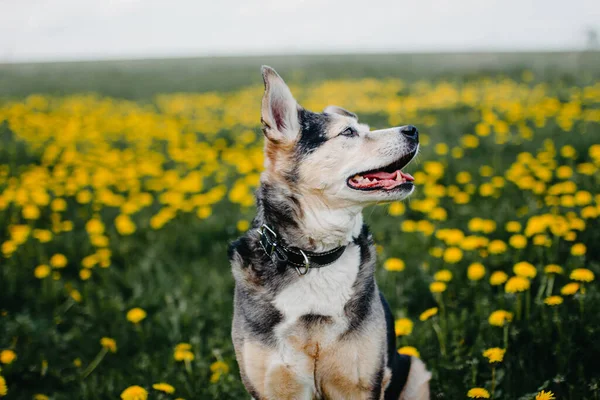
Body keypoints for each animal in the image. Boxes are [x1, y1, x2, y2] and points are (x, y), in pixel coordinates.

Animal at [230, 66, 432, 400]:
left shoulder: (358, 383)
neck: (314, 256)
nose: (413, 129)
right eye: (348, 132)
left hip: (414, 368)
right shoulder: (274, 386)